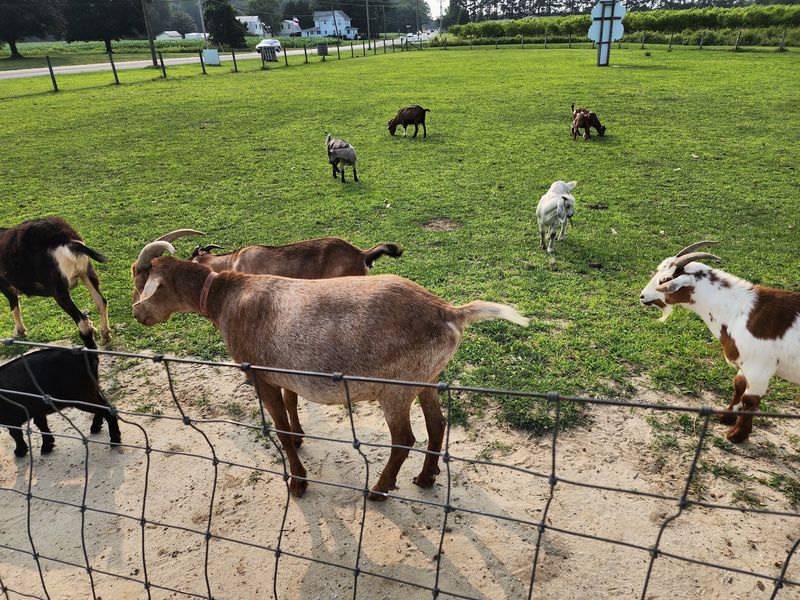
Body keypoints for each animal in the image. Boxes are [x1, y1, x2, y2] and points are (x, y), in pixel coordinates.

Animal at [0, 217, 110, 346]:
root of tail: (66, 240)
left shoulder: (7, 287)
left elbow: (14, 307)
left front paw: (19, 331)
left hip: (58, 289)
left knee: (83, 322)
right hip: (86, 272)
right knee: (101, 302)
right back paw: (105, 336)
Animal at [131, 239, 528, 500]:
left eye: (140, 278)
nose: (137, 314)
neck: (225, 296)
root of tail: (451, 312)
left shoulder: (259, 375)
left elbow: (280, 430)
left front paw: (297, 482)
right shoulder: (284, 372)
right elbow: (291, 405)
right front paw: (301, 437)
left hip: (395, 387)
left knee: (404, 439)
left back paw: (379, 490)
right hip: (427, 377)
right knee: (437, 423)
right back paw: (426, 478)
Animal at [640, 241, 800, 443]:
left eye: (665, 279)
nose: (642, 296)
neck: (740, 312)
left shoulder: (759, 368)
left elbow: (750, 400)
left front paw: (737, 435)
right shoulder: (743, 362)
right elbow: (738, 386)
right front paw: (726, 416)